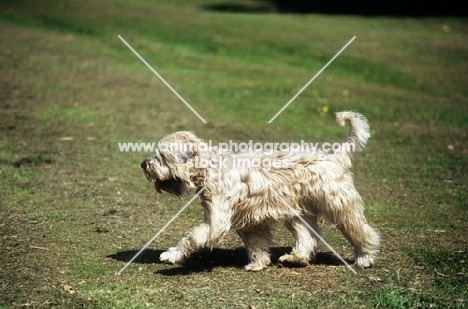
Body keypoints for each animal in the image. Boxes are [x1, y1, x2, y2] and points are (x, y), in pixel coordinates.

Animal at [141, 111, 378, 270]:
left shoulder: (217, 222)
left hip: (339, 207)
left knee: (361, 231)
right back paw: (295, 258)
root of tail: (335, 157)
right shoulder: (248, 221)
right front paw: (258, 264)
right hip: (297, 213)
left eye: (161, 156)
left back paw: (365, 257)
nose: (144, 164)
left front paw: (171, 255)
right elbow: (256, 244)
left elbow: (191, 237)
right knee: (308, 238)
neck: (210, 168)